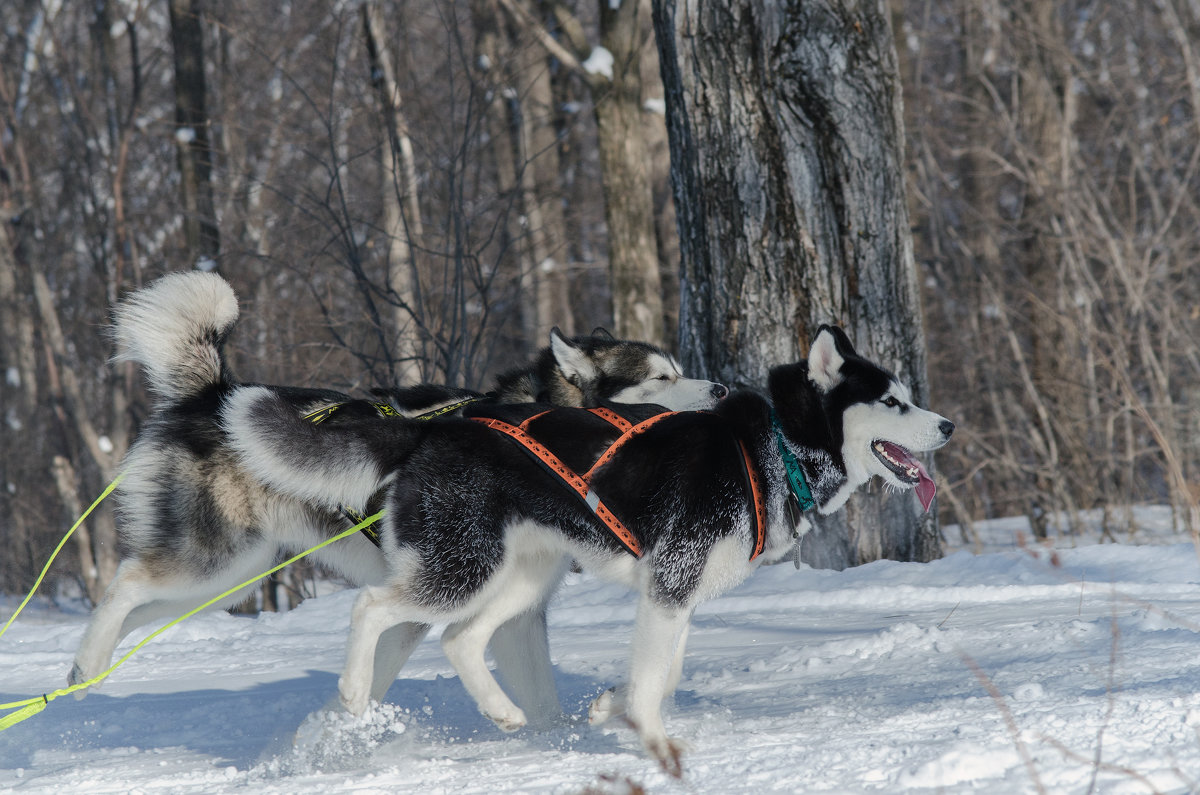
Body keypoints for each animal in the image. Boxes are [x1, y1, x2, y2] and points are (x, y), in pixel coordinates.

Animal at [70, 271, 724, 725]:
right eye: (662, 378)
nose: (720, 388)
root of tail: (211, 393)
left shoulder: (512, 610)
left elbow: (537, 699)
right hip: (214, 560)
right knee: (125, 582)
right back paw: (88, 666)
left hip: (227, 582)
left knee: (142, 608)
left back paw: (86, 669)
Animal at [225, 321, 955, 773]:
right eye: (893, 402)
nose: (947, 425)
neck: (772, 448)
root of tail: (434, 429)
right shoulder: (671, 585)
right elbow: (657, 683)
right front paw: (654, 742)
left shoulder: (676, 595)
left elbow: (663, 673)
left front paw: (611, 705)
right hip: (462, 569)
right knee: (373, 607)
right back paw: (354, 693)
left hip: (518, 577)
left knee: (462, 638)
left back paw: (504, 711)